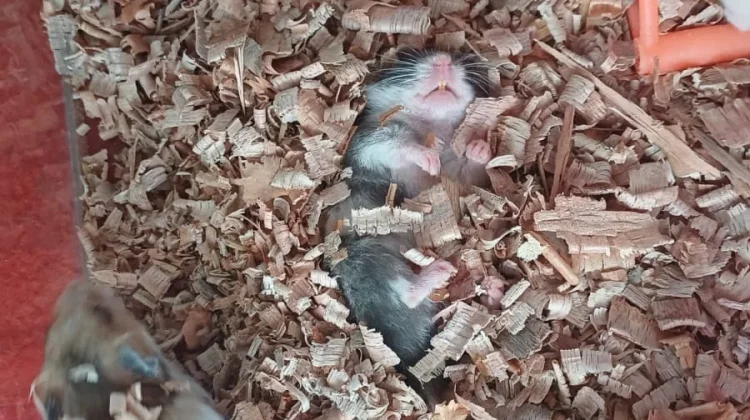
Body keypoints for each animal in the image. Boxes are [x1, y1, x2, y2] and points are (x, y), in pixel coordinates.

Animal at [325, 49, 492, 403]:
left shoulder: (462, 182)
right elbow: (396, 143)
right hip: (366, 256)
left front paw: (479, 147)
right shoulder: (368, 141)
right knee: (407, 291)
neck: (431, 125)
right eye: (406, 55)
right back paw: (440, 271)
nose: (444, 59)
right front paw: (429, 157)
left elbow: (469, 167)